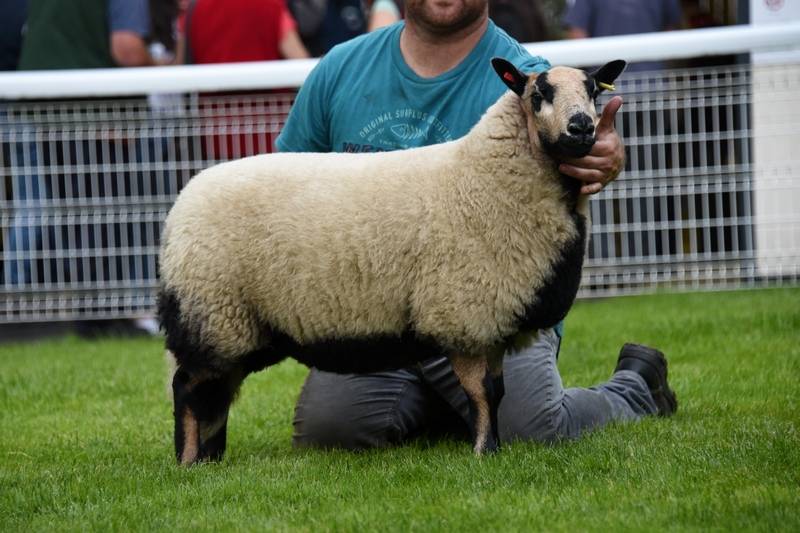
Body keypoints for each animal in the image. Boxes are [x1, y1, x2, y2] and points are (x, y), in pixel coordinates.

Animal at [158, 57, 627, 465]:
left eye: (593, 91)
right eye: (538, 94)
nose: (581, 127)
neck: (485, 179)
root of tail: (181, 206)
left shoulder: (490, 320)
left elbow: (497, 392)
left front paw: (489, 446)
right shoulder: (466, 312)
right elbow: (482, 392)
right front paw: (483, 452)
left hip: (237, 324)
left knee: (217, 390)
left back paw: (212, 459)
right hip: (213, 310)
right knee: (190, 387)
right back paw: (189, 462)